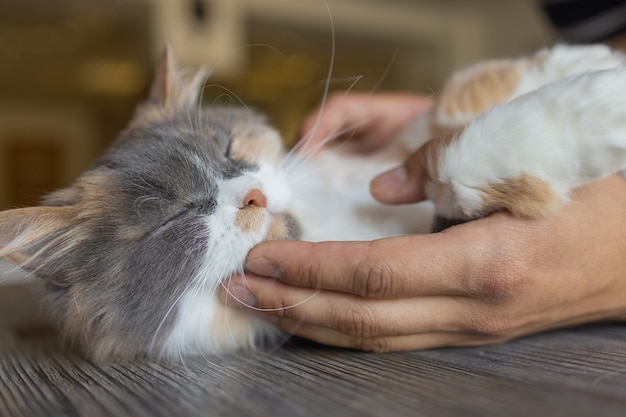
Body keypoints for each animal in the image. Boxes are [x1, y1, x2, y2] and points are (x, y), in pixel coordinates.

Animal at [0, 44, 620, 360]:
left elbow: (455, 104)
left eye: (229, 149)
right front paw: (600, 107)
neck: (333, 217)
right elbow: (455, 164)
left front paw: (586, 64)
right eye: (180, 216)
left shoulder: (394, 152)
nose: (252, 194)